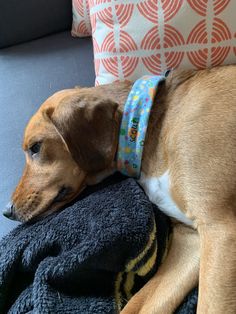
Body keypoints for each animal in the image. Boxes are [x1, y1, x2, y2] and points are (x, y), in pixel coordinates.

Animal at [4, 65, 236, 312]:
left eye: (35, 147)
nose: (7, 210)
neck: (145, 128)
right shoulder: (191, 240)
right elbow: (139, 304)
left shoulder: (220, 229)